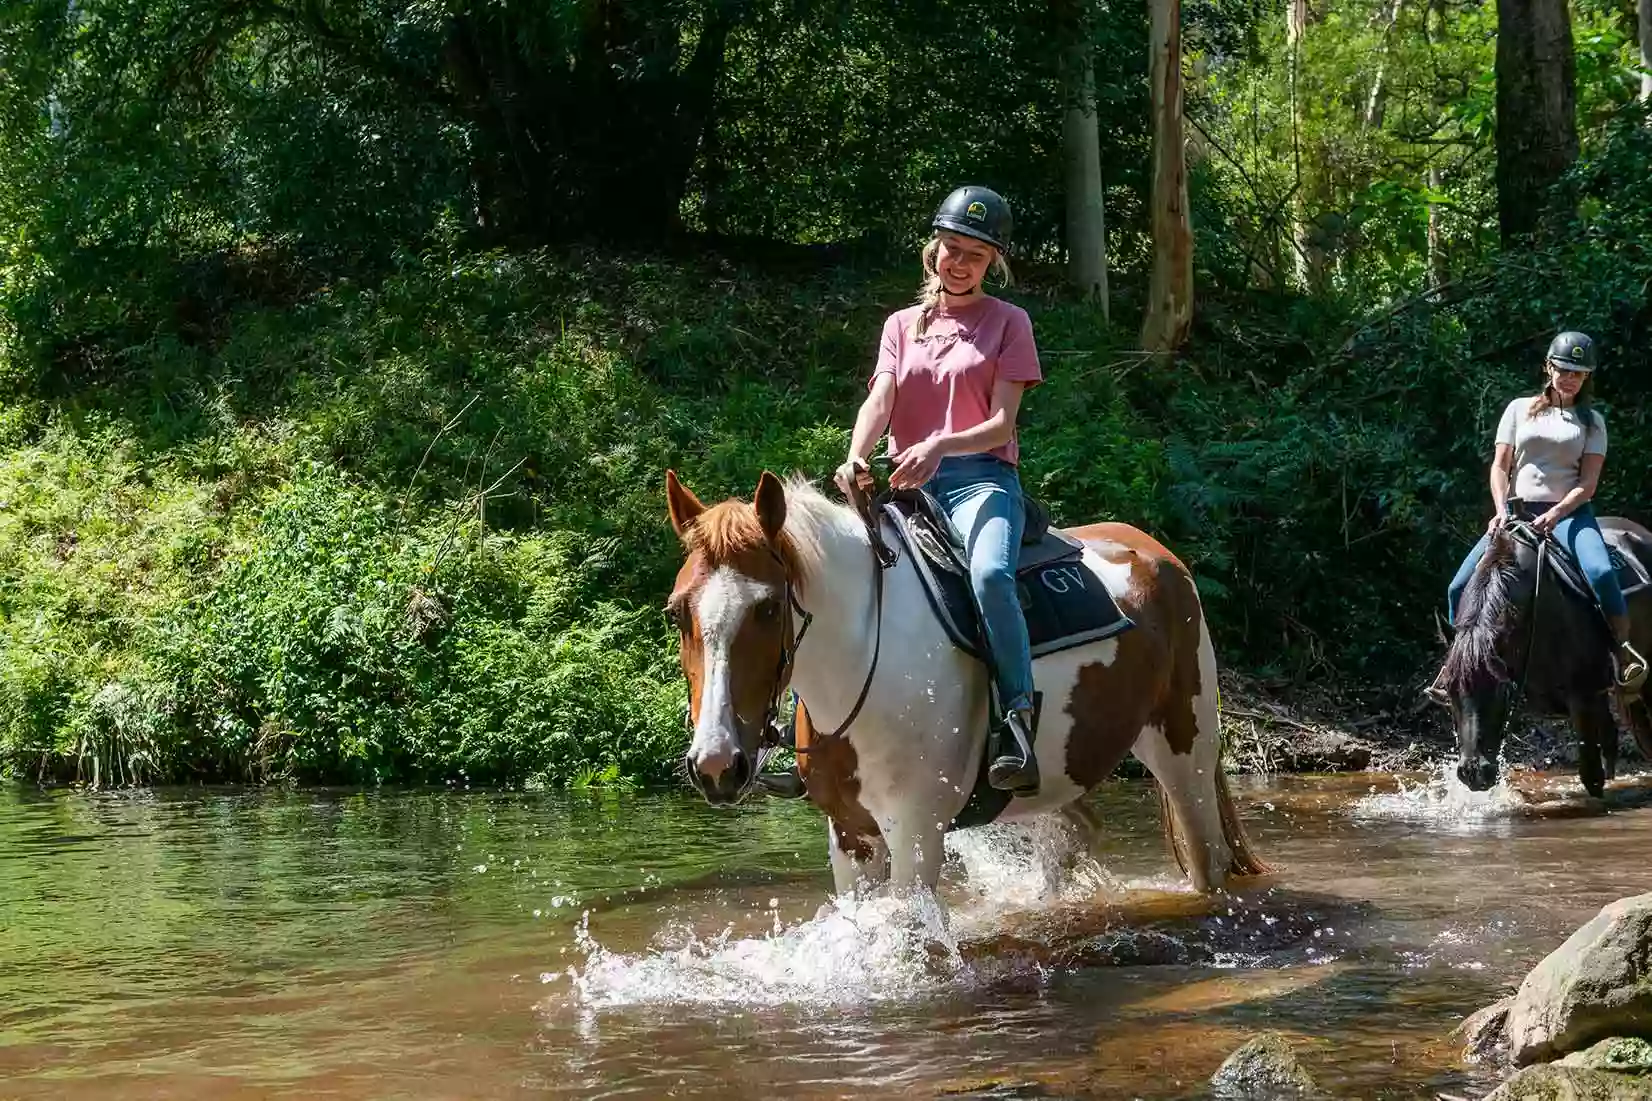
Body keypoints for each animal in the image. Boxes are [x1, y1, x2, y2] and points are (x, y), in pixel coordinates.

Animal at [664, 466, 1268, 899]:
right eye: (677, 612)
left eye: (768, 609)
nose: (716, 765)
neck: (862, 661)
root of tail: (1158, 554)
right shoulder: (851, 837)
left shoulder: (915, 831)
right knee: (1076, 835)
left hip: (1185, 750)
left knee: (1207, 860)